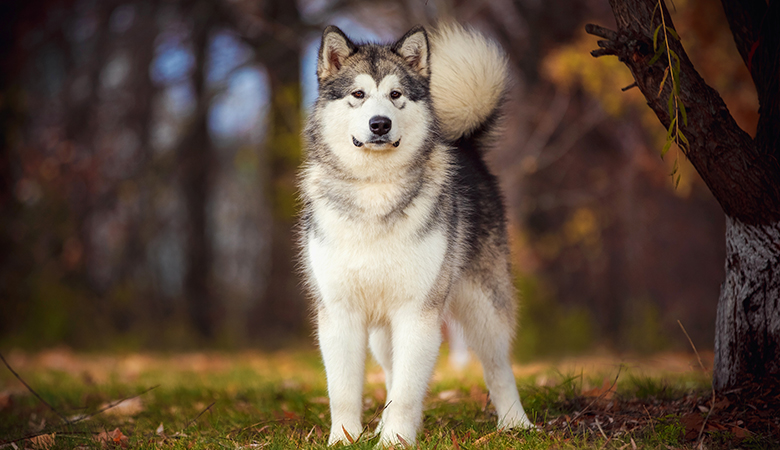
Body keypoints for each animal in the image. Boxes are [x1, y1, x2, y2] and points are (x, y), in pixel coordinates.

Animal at [298, 22, 536, 446]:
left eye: (396, 95)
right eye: (358, 94)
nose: (380, 123)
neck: (375, 191)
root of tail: (464, 144)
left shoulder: (418, 313)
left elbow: (408, 390)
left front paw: (395, 440)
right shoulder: (340, 313)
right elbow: (344, 390)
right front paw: (345, 439)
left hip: (483, 307)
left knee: (498, 367)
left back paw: (515, 423)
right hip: (382, 331)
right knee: (393, 369)